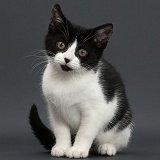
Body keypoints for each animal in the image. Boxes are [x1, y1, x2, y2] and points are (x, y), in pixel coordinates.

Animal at [28, 4, 132, 159]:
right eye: (61, 44)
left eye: (82, 52)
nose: (67, 59)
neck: (67, 80)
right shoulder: (55, 109)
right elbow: (61, 130)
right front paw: (62, 147)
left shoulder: (95, 110)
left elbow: (85, 132)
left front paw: (77, 149)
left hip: (123, 121)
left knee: (116, 137)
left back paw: (107, 147)